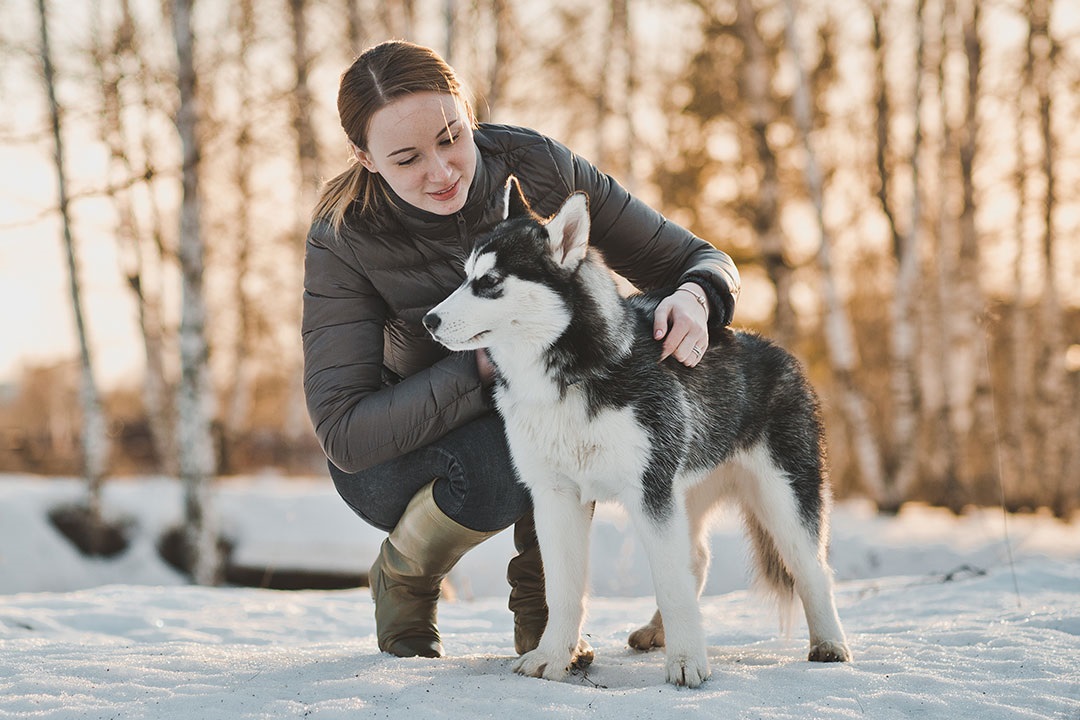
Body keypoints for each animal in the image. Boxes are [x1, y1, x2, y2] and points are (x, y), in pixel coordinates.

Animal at [423, 179, 851, 686]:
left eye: (489, 282)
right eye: (465, 275)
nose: (429, 320)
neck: (570, 376)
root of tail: (777, 349)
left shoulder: (649, 491)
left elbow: (670, 583)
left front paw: (687, 662)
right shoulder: (556, 496)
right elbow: (563, 590)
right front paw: (553, 656)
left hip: (782, 496)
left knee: (811, 568)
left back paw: (829, 643)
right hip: (687, 492)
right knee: (696, 561)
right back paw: (656, 631)